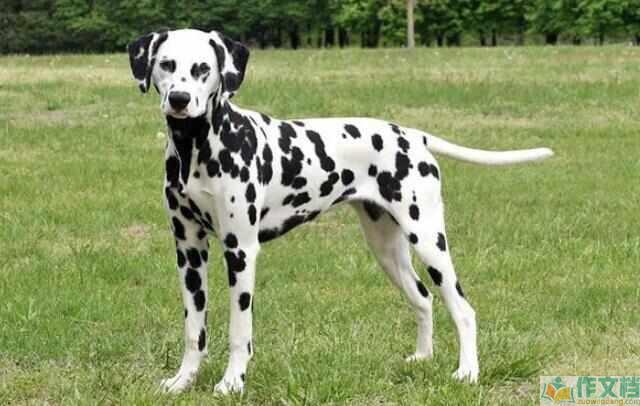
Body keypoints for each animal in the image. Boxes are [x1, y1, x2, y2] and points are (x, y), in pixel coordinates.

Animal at [126, 28, 553, 394]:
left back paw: (467, 372)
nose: (180, 100)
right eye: (167, 64)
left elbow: (239, 331)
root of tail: (412, 136)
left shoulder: (240, 250)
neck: (197, 147)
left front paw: (232, 383)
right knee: (423, 298)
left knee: (463, 308)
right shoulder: (189, 251)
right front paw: (183, 381)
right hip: (387, 249)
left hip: (429, 240)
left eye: (203, 68)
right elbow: (193, 330)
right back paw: (422, 358)